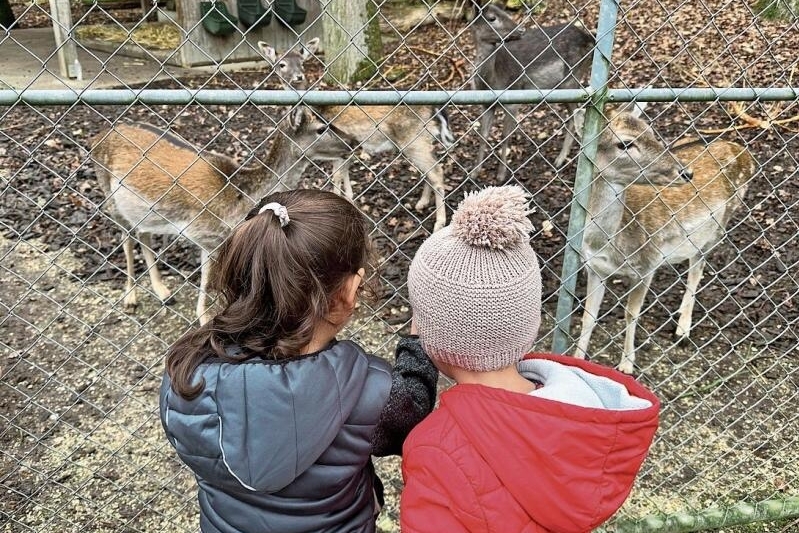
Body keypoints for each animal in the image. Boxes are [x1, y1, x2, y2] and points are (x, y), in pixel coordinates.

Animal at [90, 107, 356, 324]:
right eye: (321, 128)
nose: (353, 141)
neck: (238, 198)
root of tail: (96, 137)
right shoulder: (207, 237)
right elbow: (207, 289)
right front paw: (206, 321)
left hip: (144, 212)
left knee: (143, 234)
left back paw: (163, 292)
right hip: (109, 196)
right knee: (127, 238)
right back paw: (131, 298)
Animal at [258, 39, 456, 231]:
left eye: (302, 62)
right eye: (281, 64)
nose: (298, 76)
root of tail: (434, 108)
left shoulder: (340, 146)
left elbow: (336, 176)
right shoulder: (345, 149)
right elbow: (344, 173)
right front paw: (350, 199)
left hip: (413, 139)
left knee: (436, 171)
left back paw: (439, 222)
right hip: (419, 140)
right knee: (429, 170)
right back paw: (422, 203)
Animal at [468, 1, 592, 182]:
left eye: (505, 12)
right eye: (492, 18)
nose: (521, 30)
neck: (492, 81)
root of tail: (590, 39)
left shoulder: (513, 99)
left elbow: (505, 136)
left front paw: (501, 175)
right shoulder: (486, 104)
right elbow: (483, 135)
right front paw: (474, 172)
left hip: (571, 79)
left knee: (574, 112)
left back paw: (560, 160)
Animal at [576, 101, 756, 374]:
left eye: (651, 132)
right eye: (625, 143)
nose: (686, 172)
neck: (608, 244)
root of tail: (744, 152)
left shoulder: (647, 265)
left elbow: (631, 313)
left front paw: (626, 365)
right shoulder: (594, 268)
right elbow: (588, 316)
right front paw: (575, 357)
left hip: (719, 227)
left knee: (698, 268)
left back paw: (683, 329)